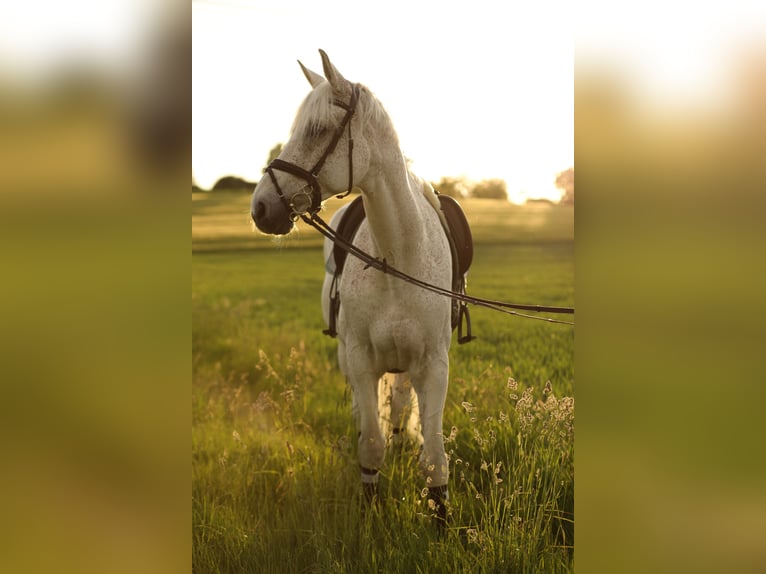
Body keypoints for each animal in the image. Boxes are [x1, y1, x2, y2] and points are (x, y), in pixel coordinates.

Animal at [252, 50, 452, 528]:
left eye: (318, 130)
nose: (260, 207)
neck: (398, 258)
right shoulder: (361, 360)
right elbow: (371, 445)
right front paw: (371, 507)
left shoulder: (433, 366)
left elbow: (434, 457)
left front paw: (444, 523)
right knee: (370, 417)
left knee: (398, 405)